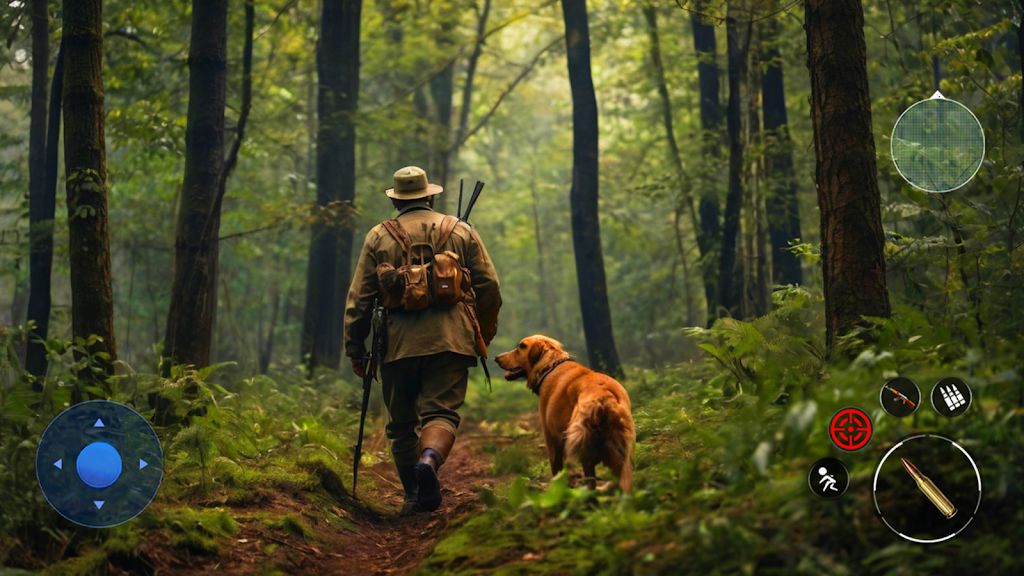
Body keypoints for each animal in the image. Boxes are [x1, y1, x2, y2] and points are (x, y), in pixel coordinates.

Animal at [493, 334, 630, 491]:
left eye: (520, 347)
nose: (496, 358)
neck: (549, 367)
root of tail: (602, 393)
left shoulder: (551, 439)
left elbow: (557, 469)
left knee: (590, 479)